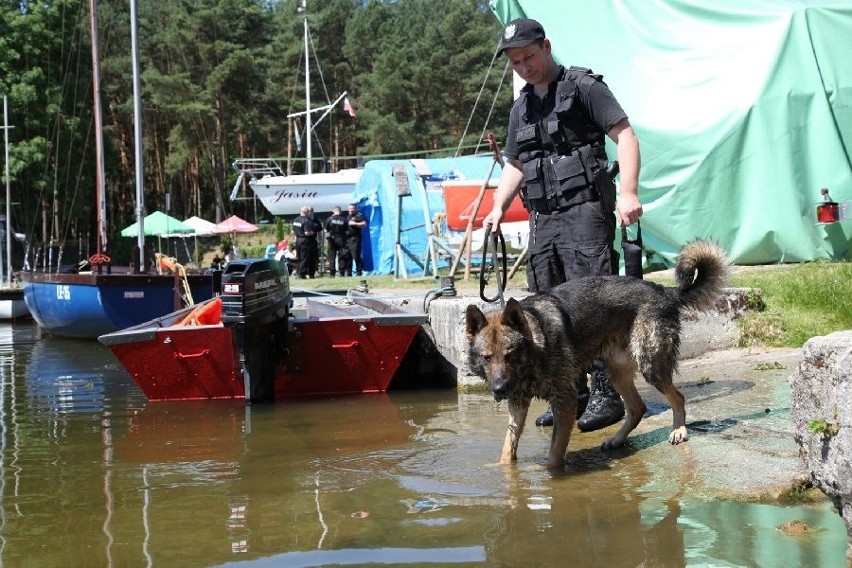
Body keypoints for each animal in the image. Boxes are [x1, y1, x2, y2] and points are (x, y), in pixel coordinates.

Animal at [466, 240, 732, 466]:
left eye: (510, 354)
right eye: (486, 358)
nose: (499, 389)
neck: (537, 340)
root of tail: (664, 291)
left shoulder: (565, 400)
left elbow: (554, 454)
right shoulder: (518, 403)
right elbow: (507, 447)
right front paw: (505, 473)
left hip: (650, 366)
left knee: (678, 398)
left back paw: (679, 430)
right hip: (617, 372)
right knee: (637, 408)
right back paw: (617, 439)